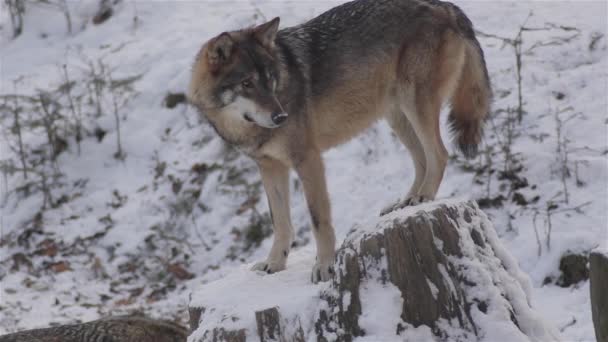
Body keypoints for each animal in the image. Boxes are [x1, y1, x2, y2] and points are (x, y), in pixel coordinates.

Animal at [188, 0, 492, 282]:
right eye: (247, 84)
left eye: (270, 79)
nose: (280, 116)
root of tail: (446, 6)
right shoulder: (270, 167)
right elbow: (281, 223)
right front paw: (274, 264)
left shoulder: (308, 159)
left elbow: (318, 220)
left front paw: (324, 266)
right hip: (397, 117)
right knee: (422, 161)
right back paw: (407, 202)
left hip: (414, 103)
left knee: (439, 154)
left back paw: (424, 196)